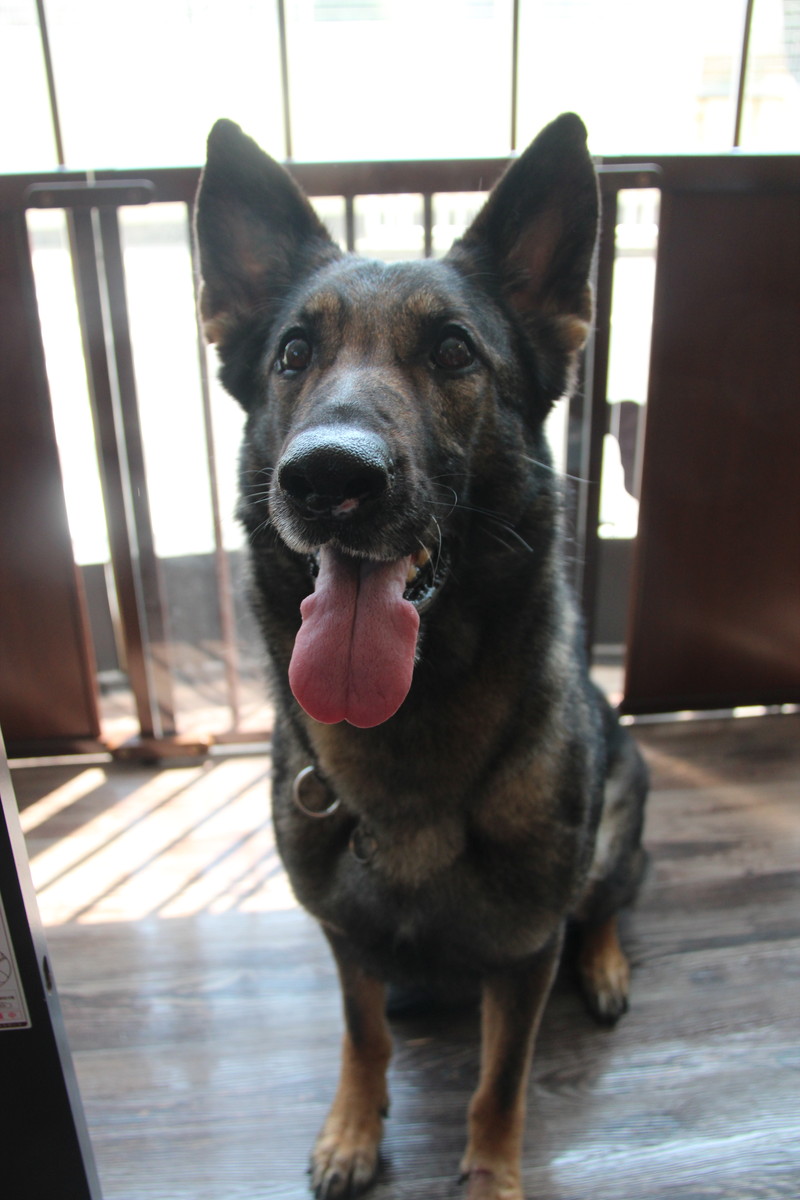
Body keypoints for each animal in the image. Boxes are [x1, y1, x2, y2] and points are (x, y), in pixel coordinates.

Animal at [194, 113, 648, 1200]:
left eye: (452, 351)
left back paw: (605, 963)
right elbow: (361, 1034)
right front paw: (354, 1129)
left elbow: (499, 1086)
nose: (327, 479)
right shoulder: (343, 937)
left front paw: (489, 1176)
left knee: (606, 900)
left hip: (624, 810)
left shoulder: (522, 959)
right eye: (292, 353)